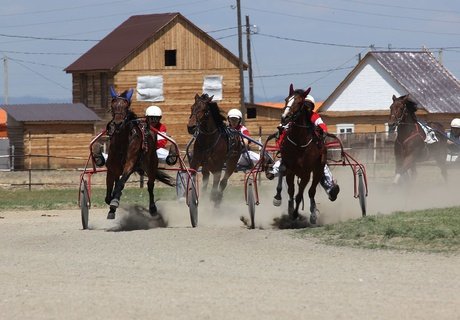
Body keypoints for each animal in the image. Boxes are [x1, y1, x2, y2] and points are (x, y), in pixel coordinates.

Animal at [104, 86, 174, 219]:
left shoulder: (130, 164)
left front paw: (114, 202)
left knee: (150, 186)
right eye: (112, 105)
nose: (117, 124)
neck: (122, 142)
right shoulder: (111, 167)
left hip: (151, 165)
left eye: (126, 106)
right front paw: (111, 206)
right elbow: (109, 190)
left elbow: (120, 183)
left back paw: (153, 209)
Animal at [274, 85, 328, 225]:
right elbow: (289, 189)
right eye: (286, 99)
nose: (285, 117)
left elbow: (299, 195)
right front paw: (280, 200)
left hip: (318, 170)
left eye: (299, 102)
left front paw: (294, 214)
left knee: (311, 192)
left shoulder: (306, 173)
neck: (299, 142)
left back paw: (312, 214)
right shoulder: (289, 167)